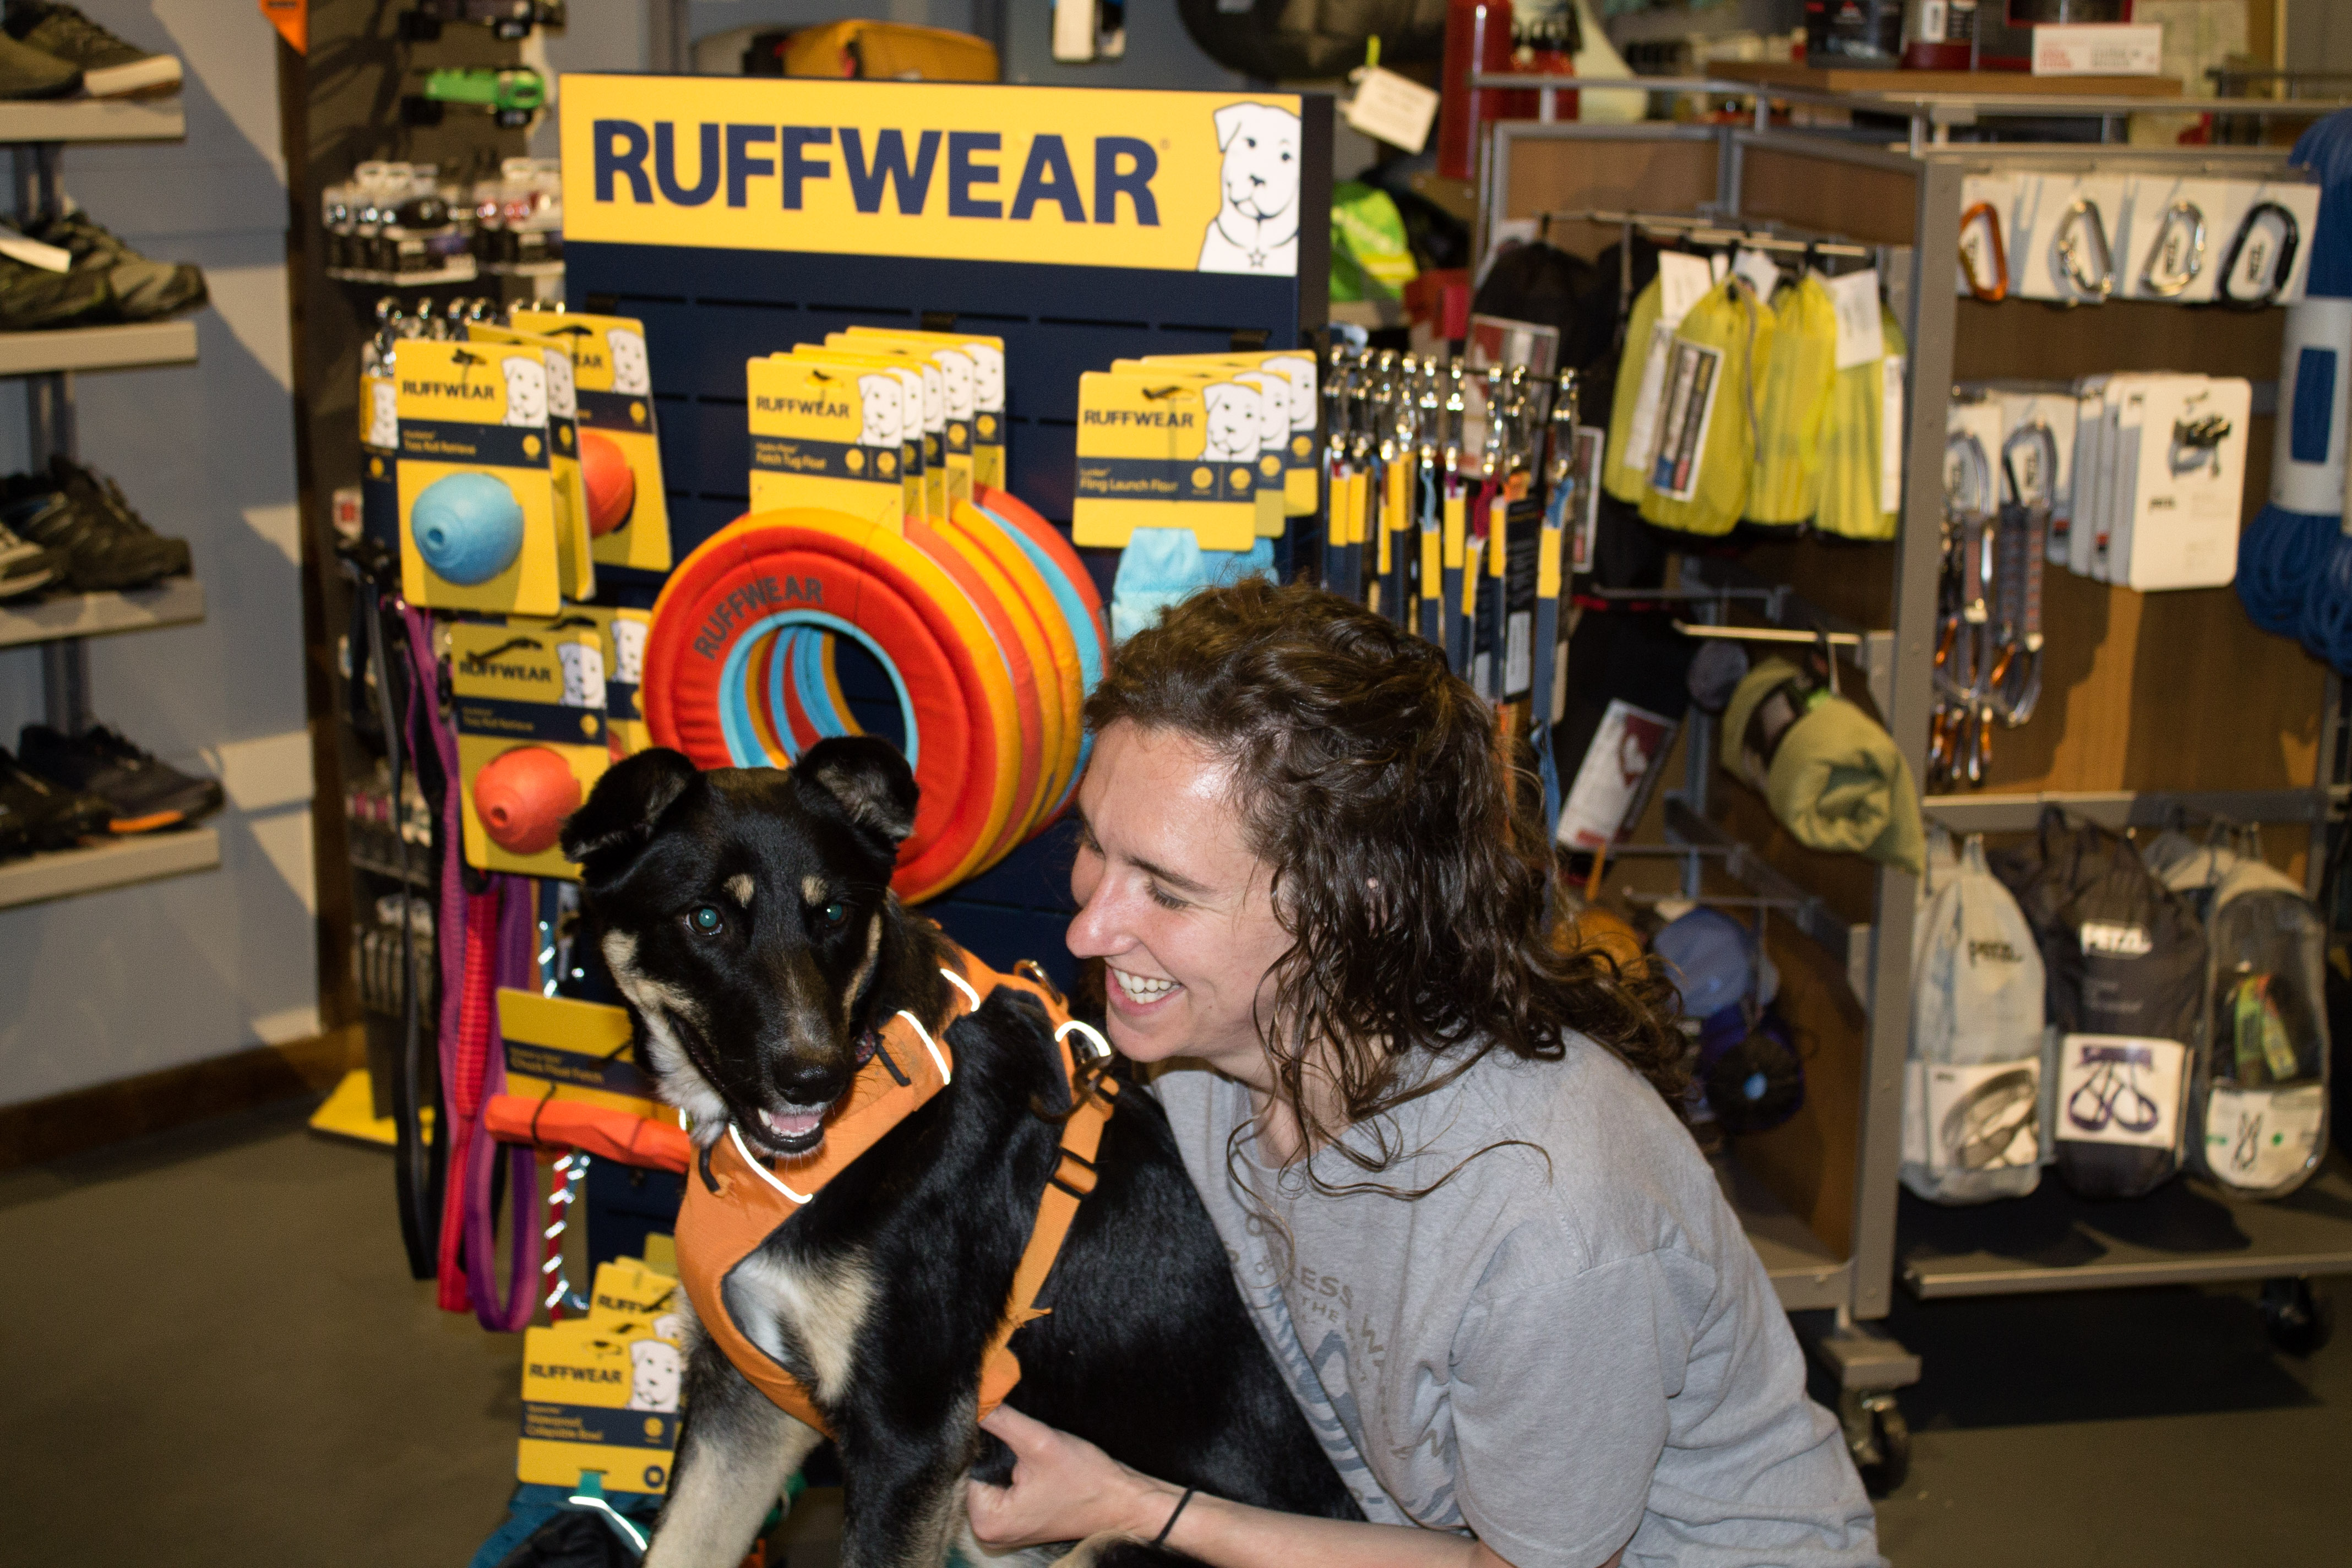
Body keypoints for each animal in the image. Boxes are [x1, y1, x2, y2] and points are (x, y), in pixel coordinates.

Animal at [559, 738, 1364, 1568]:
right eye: (707, 918)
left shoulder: (905, 1437)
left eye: (834, 913)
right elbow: (678, 1545)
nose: (815, 1078)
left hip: (1113, 1545)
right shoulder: (744, 1407)